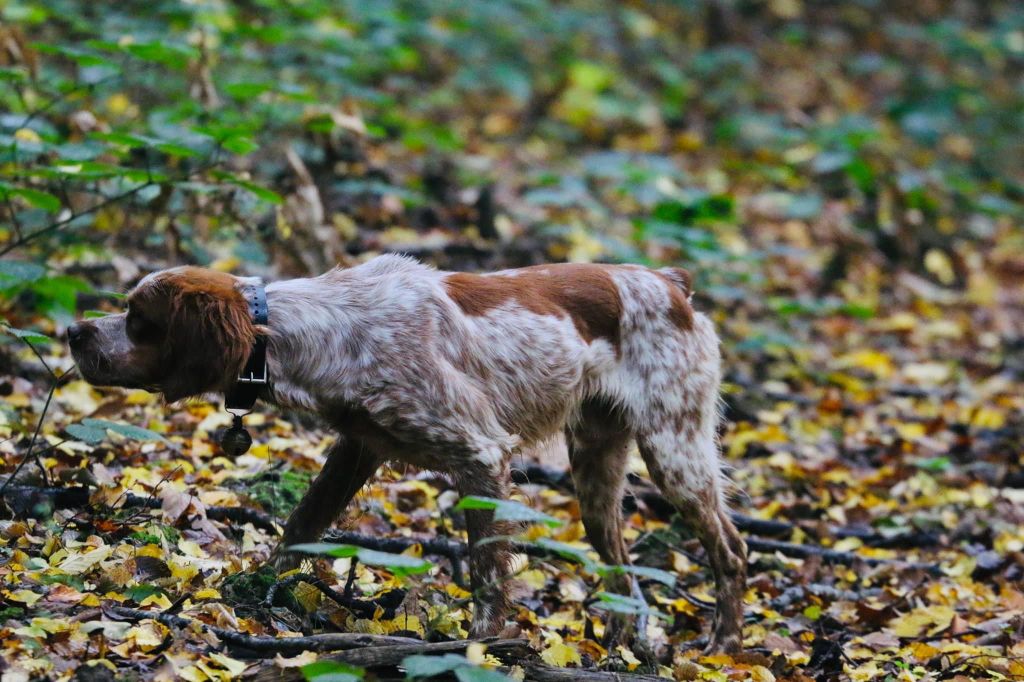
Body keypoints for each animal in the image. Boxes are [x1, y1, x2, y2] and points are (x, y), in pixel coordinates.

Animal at [68, 253, 749, 647]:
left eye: (139, 320)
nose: (72, 330)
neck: (324, 329)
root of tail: (673, 284)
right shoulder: (357, 448)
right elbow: (299, 529)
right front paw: (252, 589)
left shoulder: (481, 454)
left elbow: (487, 574)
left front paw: (480, 648)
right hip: (596, 468)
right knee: (623, 569)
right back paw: (626, 643)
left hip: (675, 448)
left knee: (732, 550)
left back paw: (722, 649)